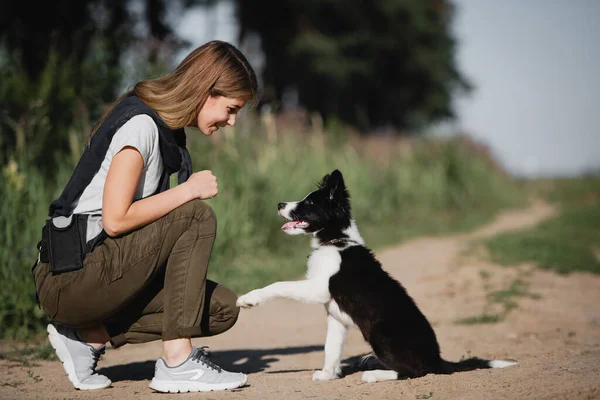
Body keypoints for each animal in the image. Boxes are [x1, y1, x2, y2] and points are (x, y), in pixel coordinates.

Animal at [237, 169, 516, 382]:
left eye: (310, 203)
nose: (280, 205)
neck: (336, 241)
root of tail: (437, 359)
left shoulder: (319, 289)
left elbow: (279, 285)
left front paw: (249, 299)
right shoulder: (334, 315)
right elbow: (330, 348)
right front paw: (327, 375)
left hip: (380, 333)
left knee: (415, 371)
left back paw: (374, 374)